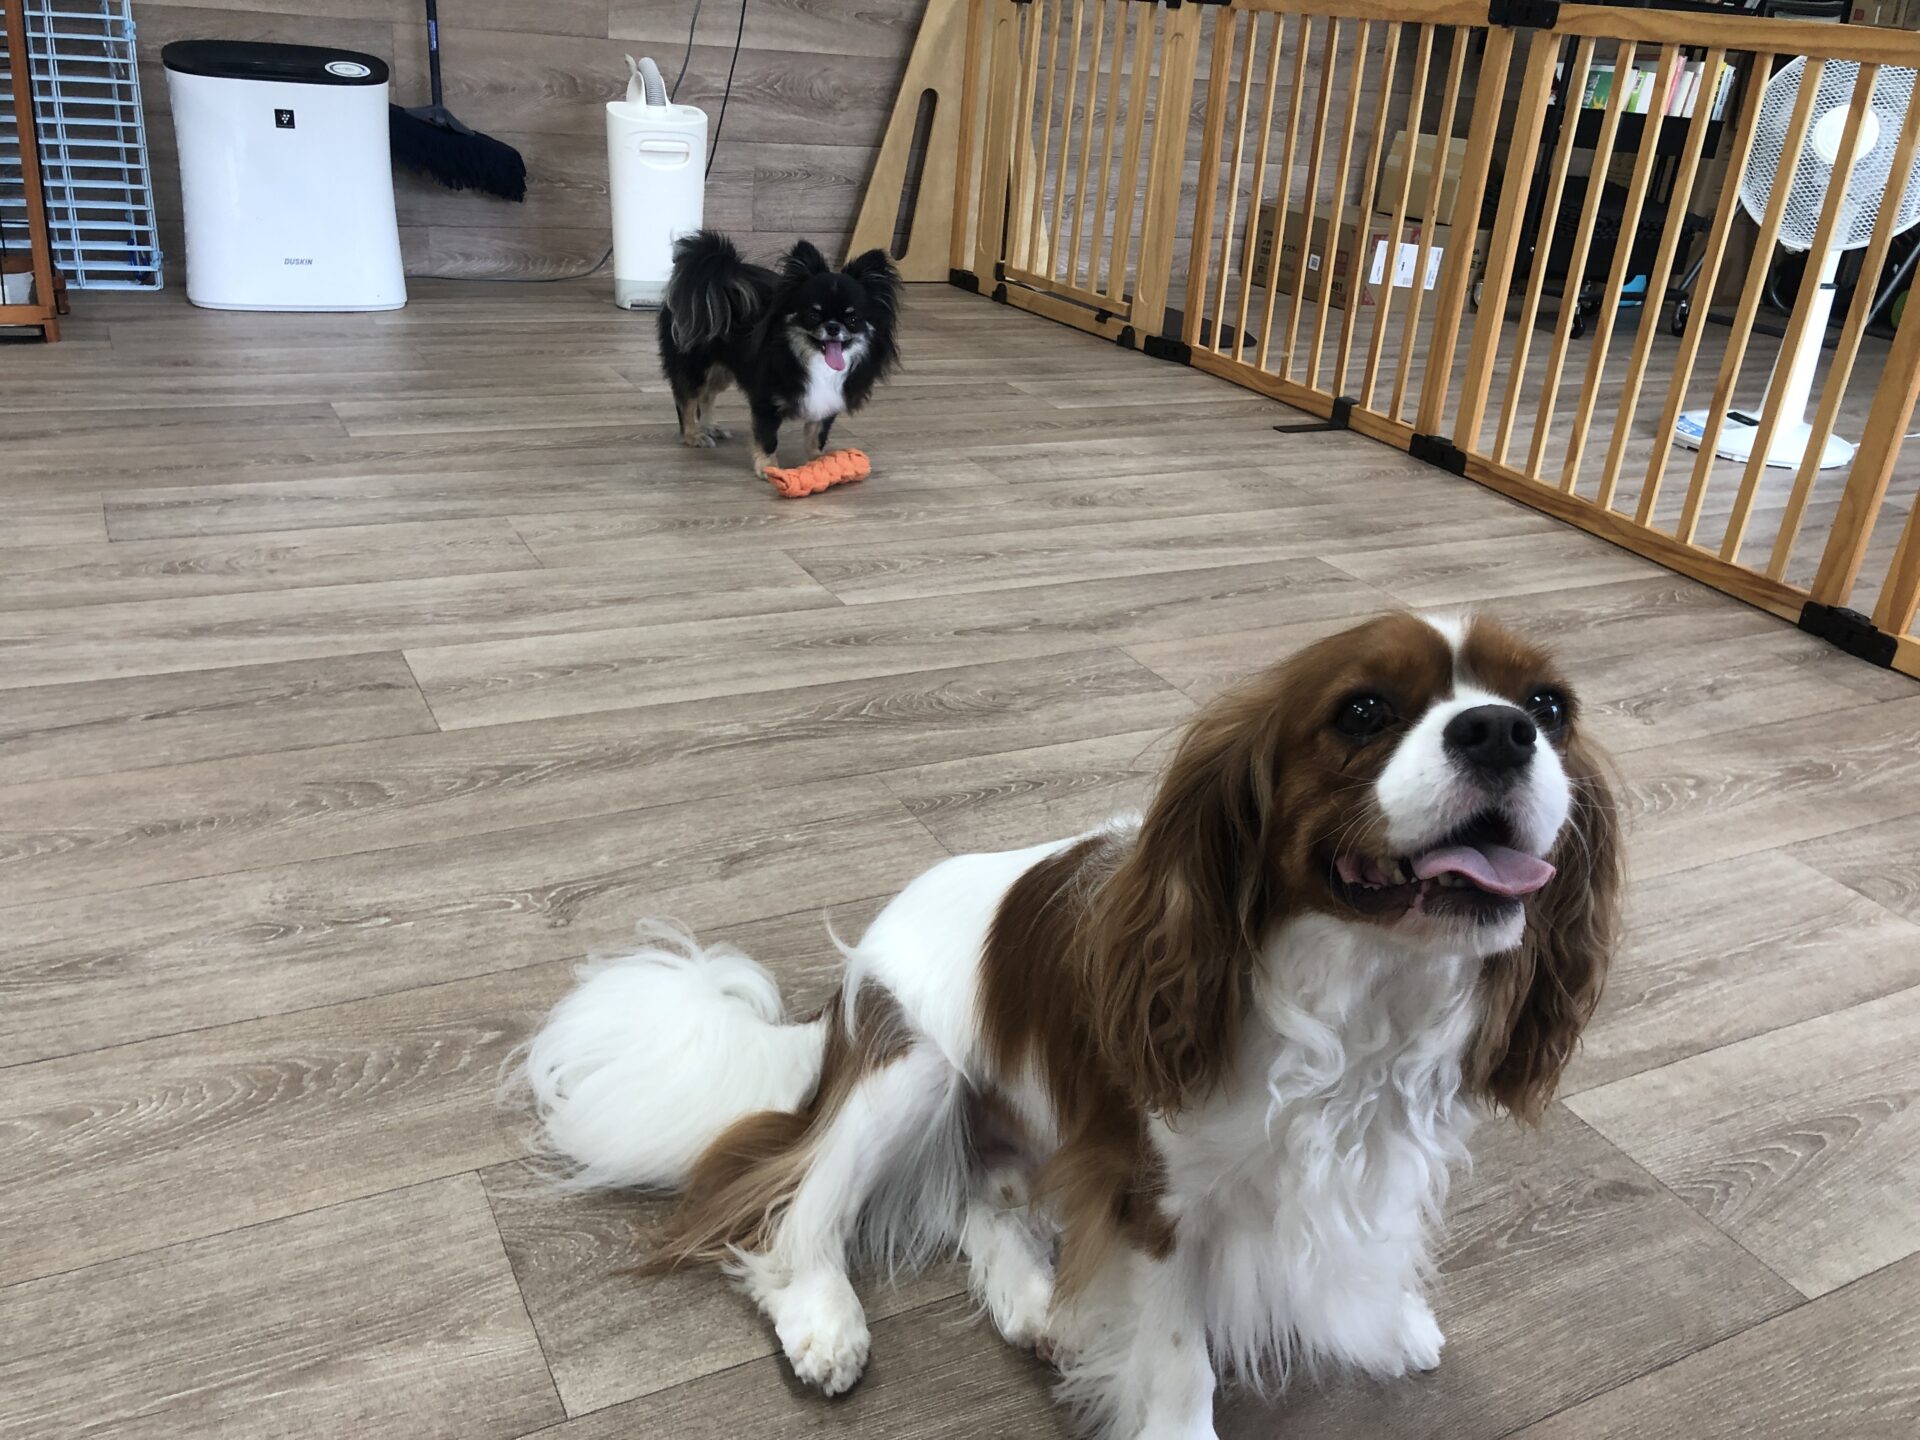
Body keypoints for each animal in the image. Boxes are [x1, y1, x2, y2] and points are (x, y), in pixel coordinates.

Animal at [517, 612, 1622, 1438]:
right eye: (1363, 711)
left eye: (1549, 707)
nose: (1499, 731)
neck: (1360, 985)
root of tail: (841, 991)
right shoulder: (1158, 1197)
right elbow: (1178, 1362)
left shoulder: (1379, 1148)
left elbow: (1375, 1246)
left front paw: (1391, 1325)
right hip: (913, 1067)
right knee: (785, 1212)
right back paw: (825, 1321)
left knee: (976, 1193)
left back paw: (1032, 1303)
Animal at [658, 230, 900, 477]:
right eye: (813, 315)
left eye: (852, 318)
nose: (833, 327)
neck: (812, 361)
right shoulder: (766, 401)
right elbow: (768, 438)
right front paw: (769, 467)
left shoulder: (828, 401)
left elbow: (817, 435)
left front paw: (820, 461)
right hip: (696, 366)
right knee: (687, 399)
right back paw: (693, 435)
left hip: (722, 369)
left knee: (707, 395)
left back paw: (709, 427)